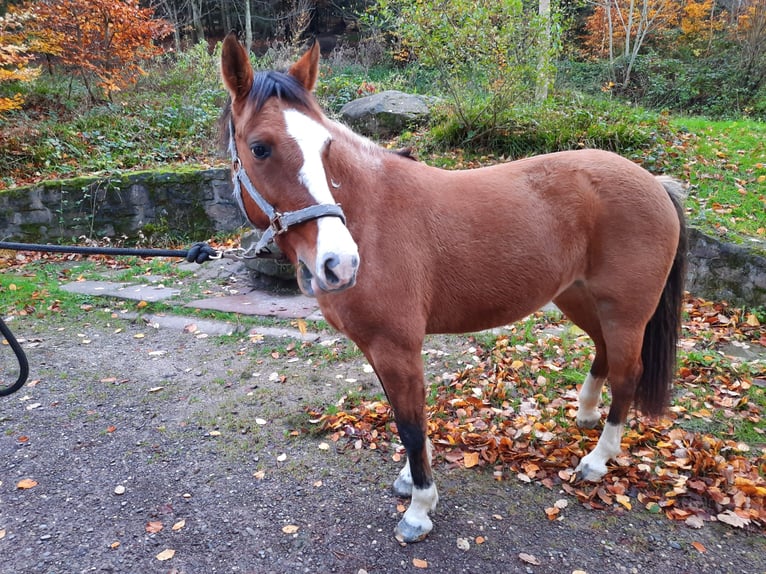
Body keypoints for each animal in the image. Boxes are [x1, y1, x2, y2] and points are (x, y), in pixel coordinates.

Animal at [219, 33, 688, 548]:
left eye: (325, 146)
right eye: (260, 148)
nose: (339, 263)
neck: (371, 214)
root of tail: (655, 183)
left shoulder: (396, 347)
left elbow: (409, 423)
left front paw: (420, 508)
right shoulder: (380, 349)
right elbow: (405, 417)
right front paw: (410, 481)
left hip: (625, 312)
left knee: (628, 374)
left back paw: (597, 461)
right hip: (579, 298)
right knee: (604, 353)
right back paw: (585, 415)